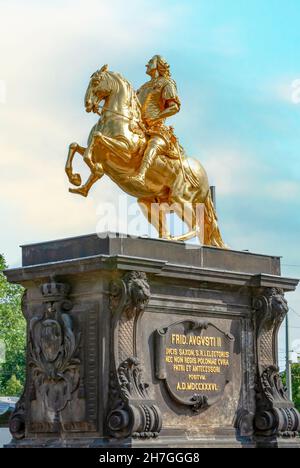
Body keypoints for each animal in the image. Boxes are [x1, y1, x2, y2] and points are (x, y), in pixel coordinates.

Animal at [65, 66, 225, 249]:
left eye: (96, 81)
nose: (87, 104)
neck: (118, 119)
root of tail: (203, 175)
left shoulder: (125, 152)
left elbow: (96, 142)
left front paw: (92, 170)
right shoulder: (100, 153)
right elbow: (75, 146)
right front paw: (77, 181)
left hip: (180, 199)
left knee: (197, 227)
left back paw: (175, 240)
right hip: (149, 203)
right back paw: (165, 239)